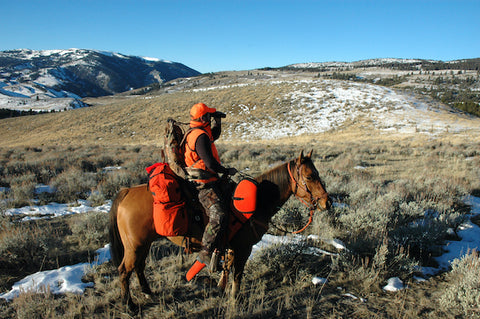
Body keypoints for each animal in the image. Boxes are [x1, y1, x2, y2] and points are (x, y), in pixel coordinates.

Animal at [109, 152, 332, 310]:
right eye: (310, 176)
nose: (327, 202)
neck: (259, 200)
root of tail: (125, 191)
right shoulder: (244, 248)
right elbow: (238, 274)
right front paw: (235, 299)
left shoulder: (231, 247)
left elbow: (229, 269)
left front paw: (223, 289)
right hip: (135, 246)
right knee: (124, 270)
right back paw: (129, 305)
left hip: (143, 244)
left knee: (138, 267)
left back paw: (148, 292)